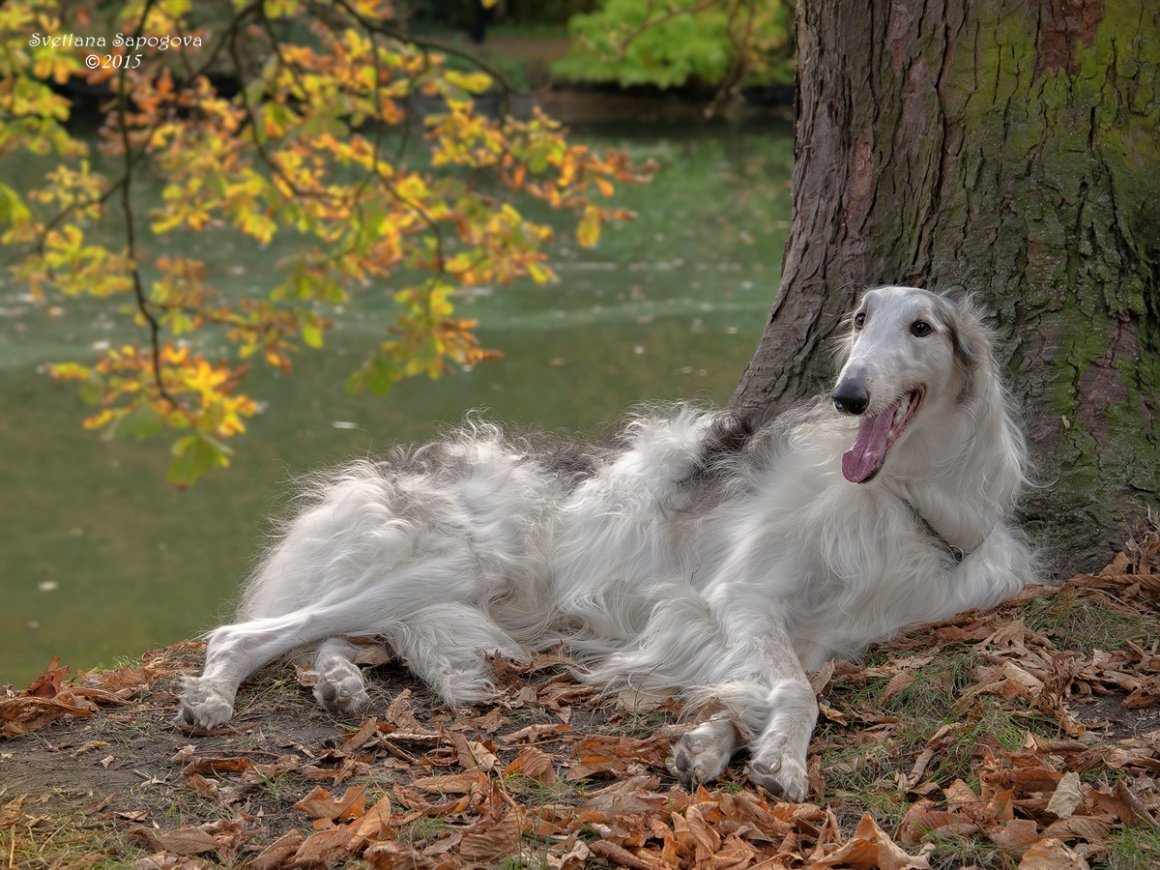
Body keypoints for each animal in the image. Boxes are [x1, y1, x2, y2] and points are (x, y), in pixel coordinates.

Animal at [176, 287, 1030, 802]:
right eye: (859, 322)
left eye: (921, 327)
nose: (847, 394)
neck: (907, 499)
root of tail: (389, 467)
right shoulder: (742, 595)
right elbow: (794, 694)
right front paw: (780, 759)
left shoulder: (821, 635)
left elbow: (765, 691)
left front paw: (708, 746)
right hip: (455, 559)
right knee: (253, 630)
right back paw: (216, 696)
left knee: (337, 631)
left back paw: (343, 683)